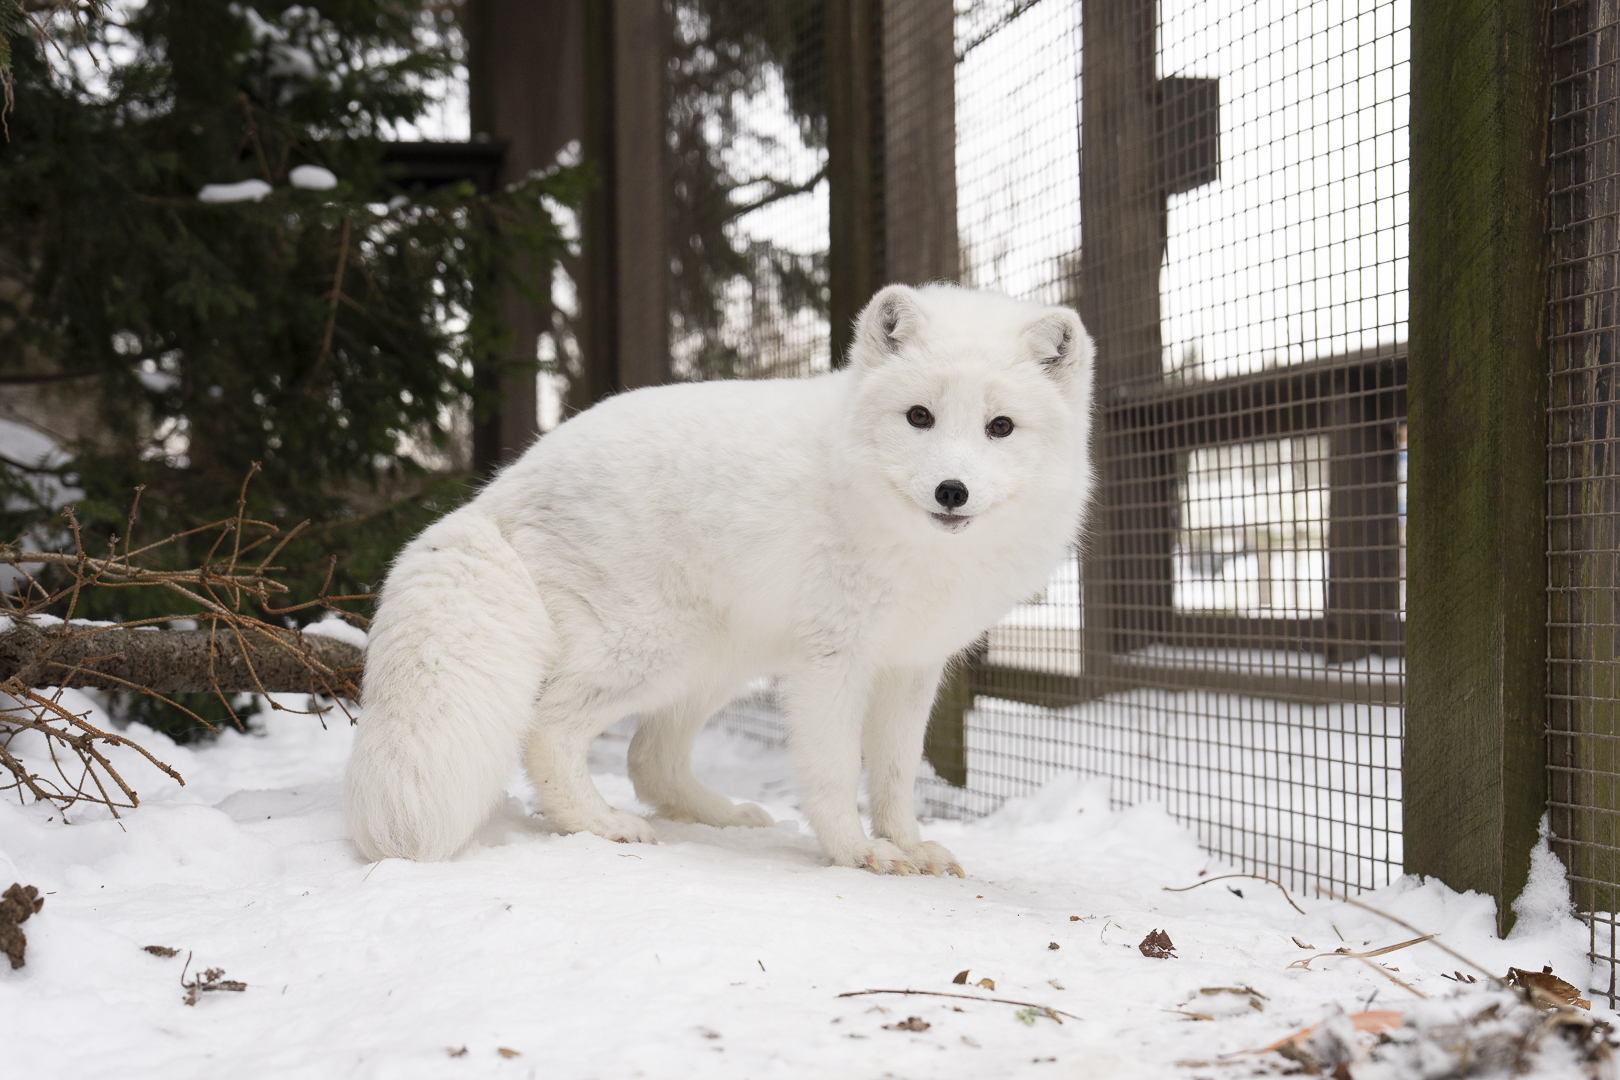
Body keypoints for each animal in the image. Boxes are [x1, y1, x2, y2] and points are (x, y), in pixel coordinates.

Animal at [344, 283, 1095, 876]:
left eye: (1000, 427)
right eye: (919, 417)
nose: (951, 491)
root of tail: (505, 486)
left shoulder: (910, 668)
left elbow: (893, 777)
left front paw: (909, 845)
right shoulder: (834, 661)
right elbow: (833, 774)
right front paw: (856, 852)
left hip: (713, 663)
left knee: (649, 758)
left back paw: (721, 817)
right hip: (650, 653)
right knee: (549, 727)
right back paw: (600, 824)